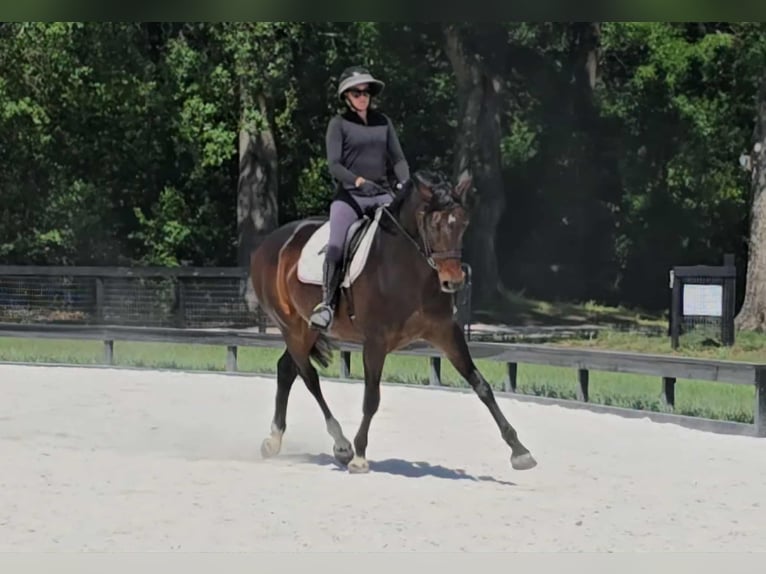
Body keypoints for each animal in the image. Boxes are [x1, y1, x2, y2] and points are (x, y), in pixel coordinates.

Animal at [247, 169, 537, 474]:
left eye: (463, 222)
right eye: (434, 224)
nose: (453, 281)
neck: (409, 269)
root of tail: (268, 244)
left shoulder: (446, 332)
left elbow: (481, 384)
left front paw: (520, 451)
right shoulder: (376, 341)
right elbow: (371, 398)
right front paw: (360, 455)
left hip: (306, 329)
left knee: (286, 369)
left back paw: (274, 441)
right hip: (292, 328)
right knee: (309, 377)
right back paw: (342, 445)